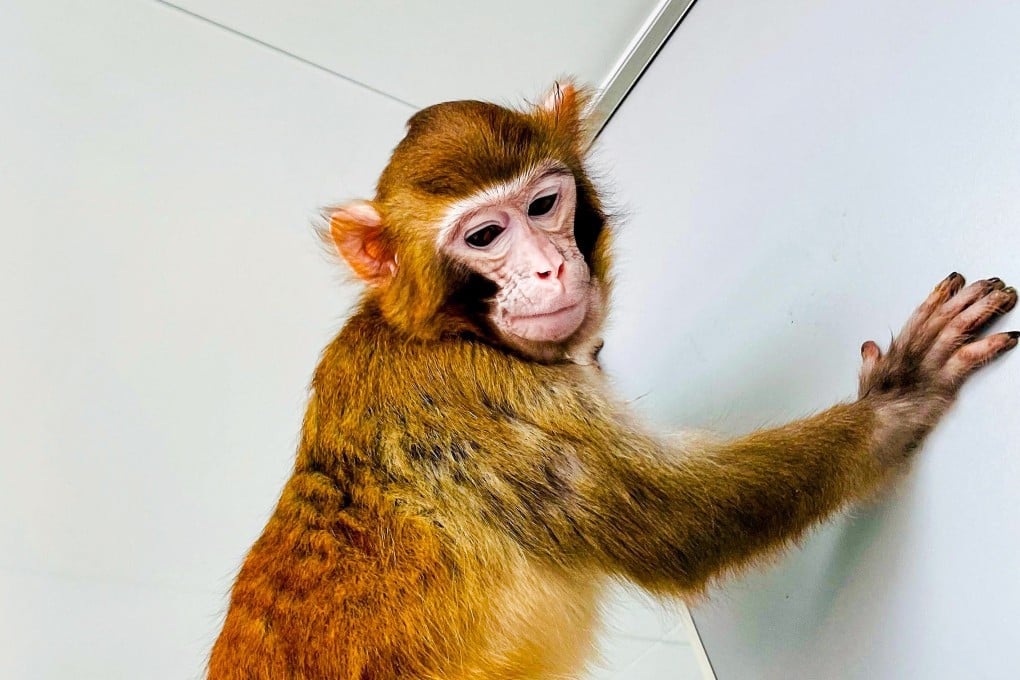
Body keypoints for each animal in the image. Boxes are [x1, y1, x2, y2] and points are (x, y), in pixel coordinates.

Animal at [206, 81, 1018, 680]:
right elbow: (678, 525)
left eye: (543, 204)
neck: (441, 332)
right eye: (486, 236)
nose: (548, 267)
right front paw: (899, 398)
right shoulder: (471, 395)